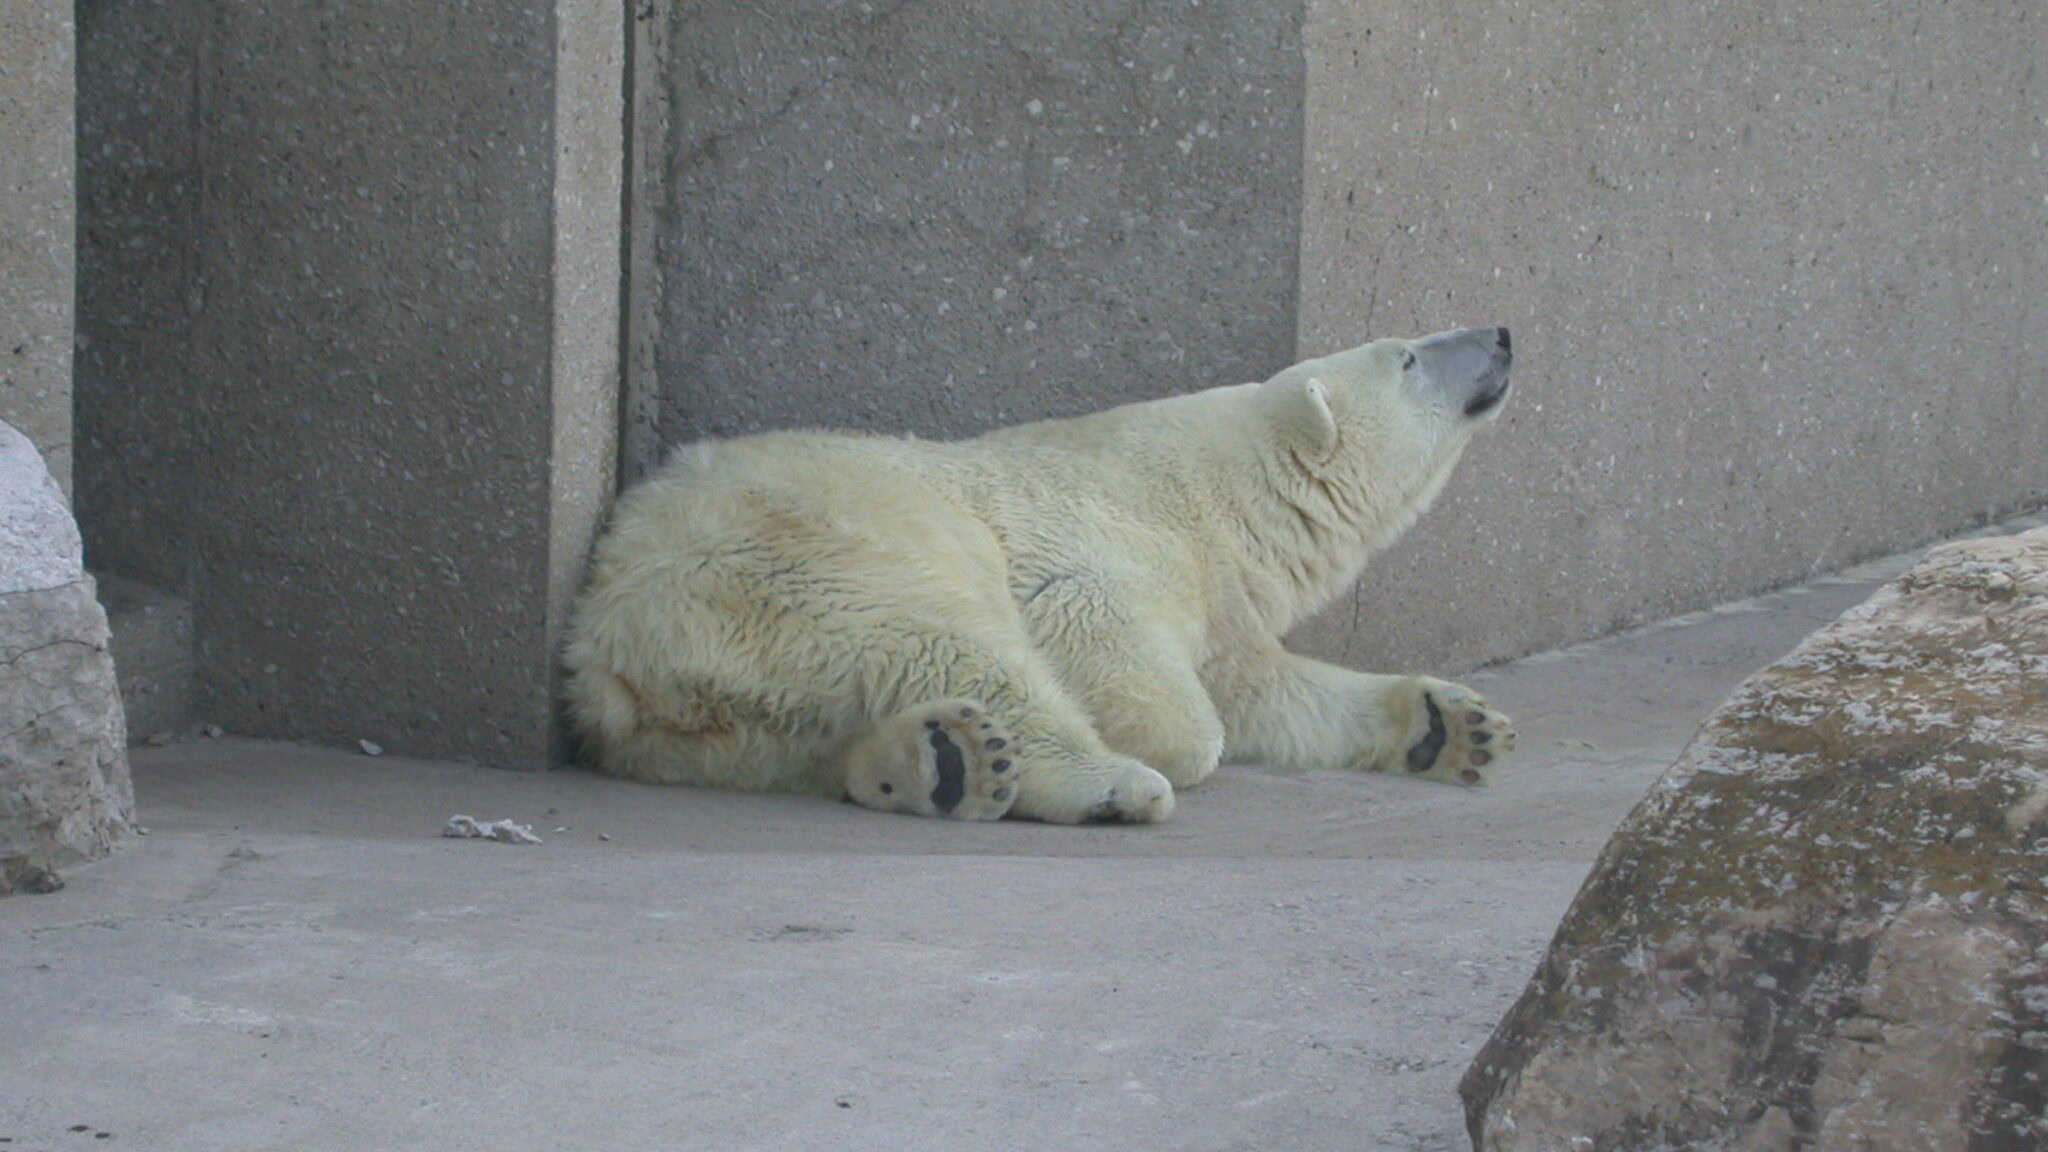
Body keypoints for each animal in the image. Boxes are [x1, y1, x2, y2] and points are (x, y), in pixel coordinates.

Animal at [565, 326, 1517, 824]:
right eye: (1409, 355)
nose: (1501, 336)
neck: (1220, 496)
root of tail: (609, 637)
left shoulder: (1226, 610)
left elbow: (1266, 689)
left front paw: (1456, 725)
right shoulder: (1115, 545)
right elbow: (1149, 680)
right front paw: (1154, 742)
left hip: (705, 723)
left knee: (780, 745)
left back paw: (926, 760)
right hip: (819, 550)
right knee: (950, 642)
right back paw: (1093, 783)